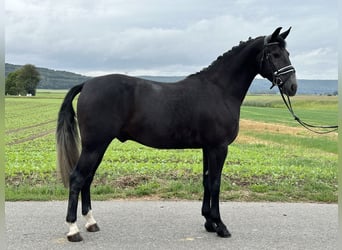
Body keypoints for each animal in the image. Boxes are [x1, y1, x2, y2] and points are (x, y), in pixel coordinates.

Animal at [56, 27, 296, 242]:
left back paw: (91, 223)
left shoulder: (208, 148)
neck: (219, 90)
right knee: (77, 179)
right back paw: (73, 230)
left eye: (288, 53)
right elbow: (216, 184)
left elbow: (206, 181)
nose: (293, 87)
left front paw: (209, 222)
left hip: (98, 147)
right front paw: (221, 226)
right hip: (94, 146)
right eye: (275, 54)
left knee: (87, 179)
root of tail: (87, 83)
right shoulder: (219, 147)